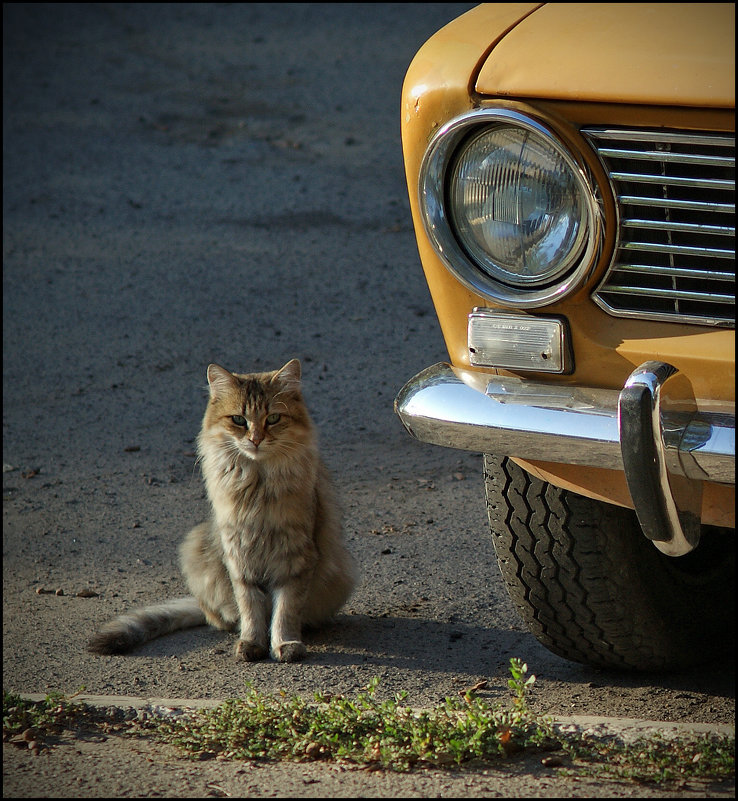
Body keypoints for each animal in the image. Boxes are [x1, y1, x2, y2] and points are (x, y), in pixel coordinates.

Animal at [87, 360, 356, 664]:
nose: (256, 439)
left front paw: (285, 644)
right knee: (219, 616)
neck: (257, 485)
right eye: (239, 420)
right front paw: (252, 643)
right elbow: (250, 607)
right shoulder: (239, 556)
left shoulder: (295, 558)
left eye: (273, 418)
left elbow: (285, 610)